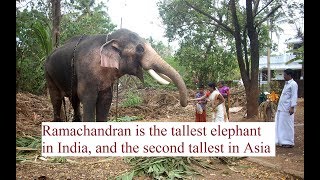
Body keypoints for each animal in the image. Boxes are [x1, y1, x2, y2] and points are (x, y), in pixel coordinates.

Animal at [46, 28, 189, 121]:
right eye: (140, 49)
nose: (184, 104)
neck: (108, 39)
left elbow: (106, 99)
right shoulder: (86, 71)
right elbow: (88, 97)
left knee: (73, 98)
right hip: (48, 74)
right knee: (56, 98)